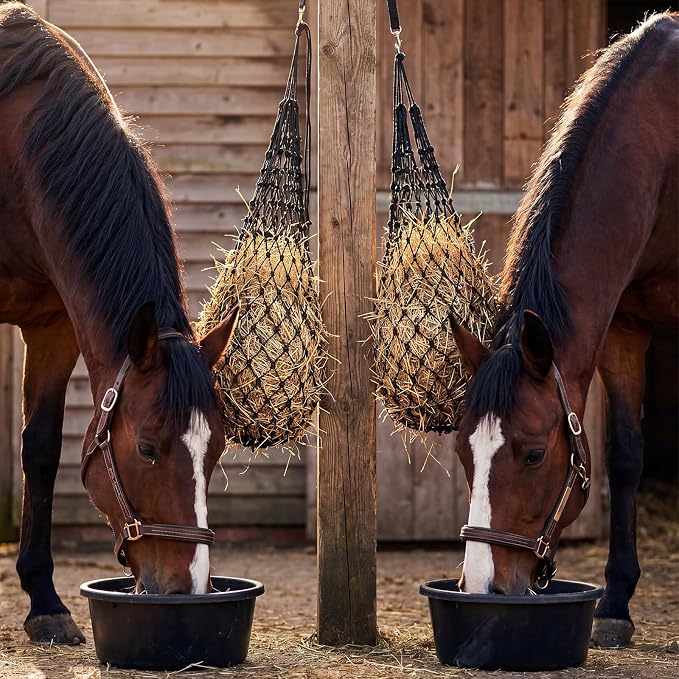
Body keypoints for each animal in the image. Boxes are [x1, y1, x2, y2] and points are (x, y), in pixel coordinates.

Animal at [0, 2, 239, 644]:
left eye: (215, 449)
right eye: (149, 448)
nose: (187, 587)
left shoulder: (54, 326)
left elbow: (41, 450)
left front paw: (44, 602)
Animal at [449, 12, 678, 648]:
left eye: (532, 455)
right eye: (463, 451)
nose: (483, 586)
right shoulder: (623, 327)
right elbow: (625, 454)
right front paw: (616, 605)